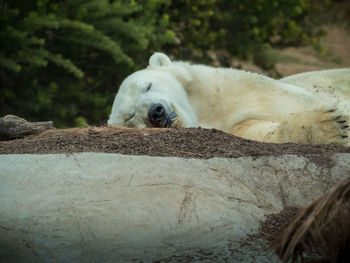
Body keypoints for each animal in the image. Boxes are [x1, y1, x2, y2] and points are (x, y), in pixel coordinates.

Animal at [108, 52, 348, 145]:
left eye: (147, 86)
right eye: (129, 116)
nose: (156, 112)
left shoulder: (238, 90)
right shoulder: (234, 126)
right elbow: (262, 131)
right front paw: (327, 125)